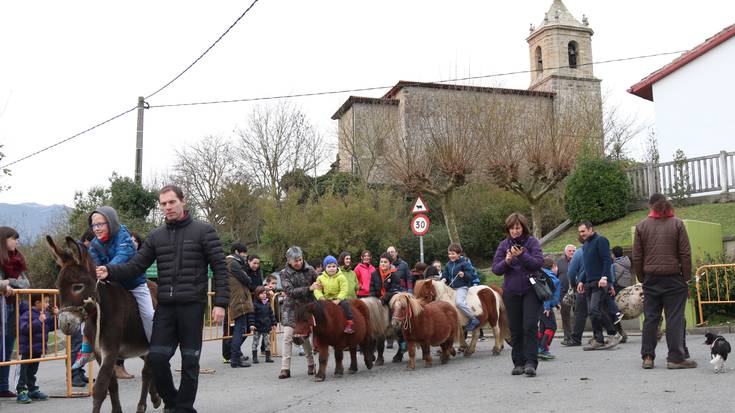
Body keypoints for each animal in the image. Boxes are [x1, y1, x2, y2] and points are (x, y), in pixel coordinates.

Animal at [47, 235, 161, 412]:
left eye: (78, 287)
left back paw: (144, 404)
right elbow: (111, 385)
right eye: (58, 287)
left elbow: (100, 389)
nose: (65, 324)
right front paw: (117, 410)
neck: (99, 313)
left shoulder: (111, 350)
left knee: (147, 371)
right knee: (150, 367)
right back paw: (155, 397)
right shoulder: (99, 352)